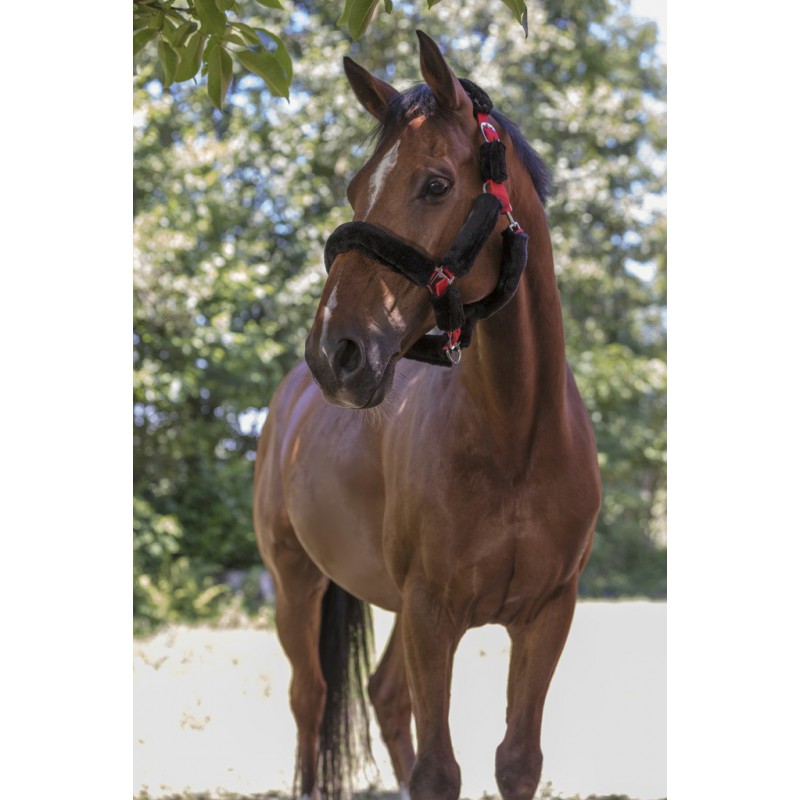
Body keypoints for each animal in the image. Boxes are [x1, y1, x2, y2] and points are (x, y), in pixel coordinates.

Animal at [253, 31, 602, 800]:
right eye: (356, 188)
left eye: (436, 183)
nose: (336, 352)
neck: (516, 438)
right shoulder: (431, 615)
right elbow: (440, 770)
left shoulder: (546, 616)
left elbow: (516, 762)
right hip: (296, 582)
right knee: (310, 698)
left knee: (383, 698)